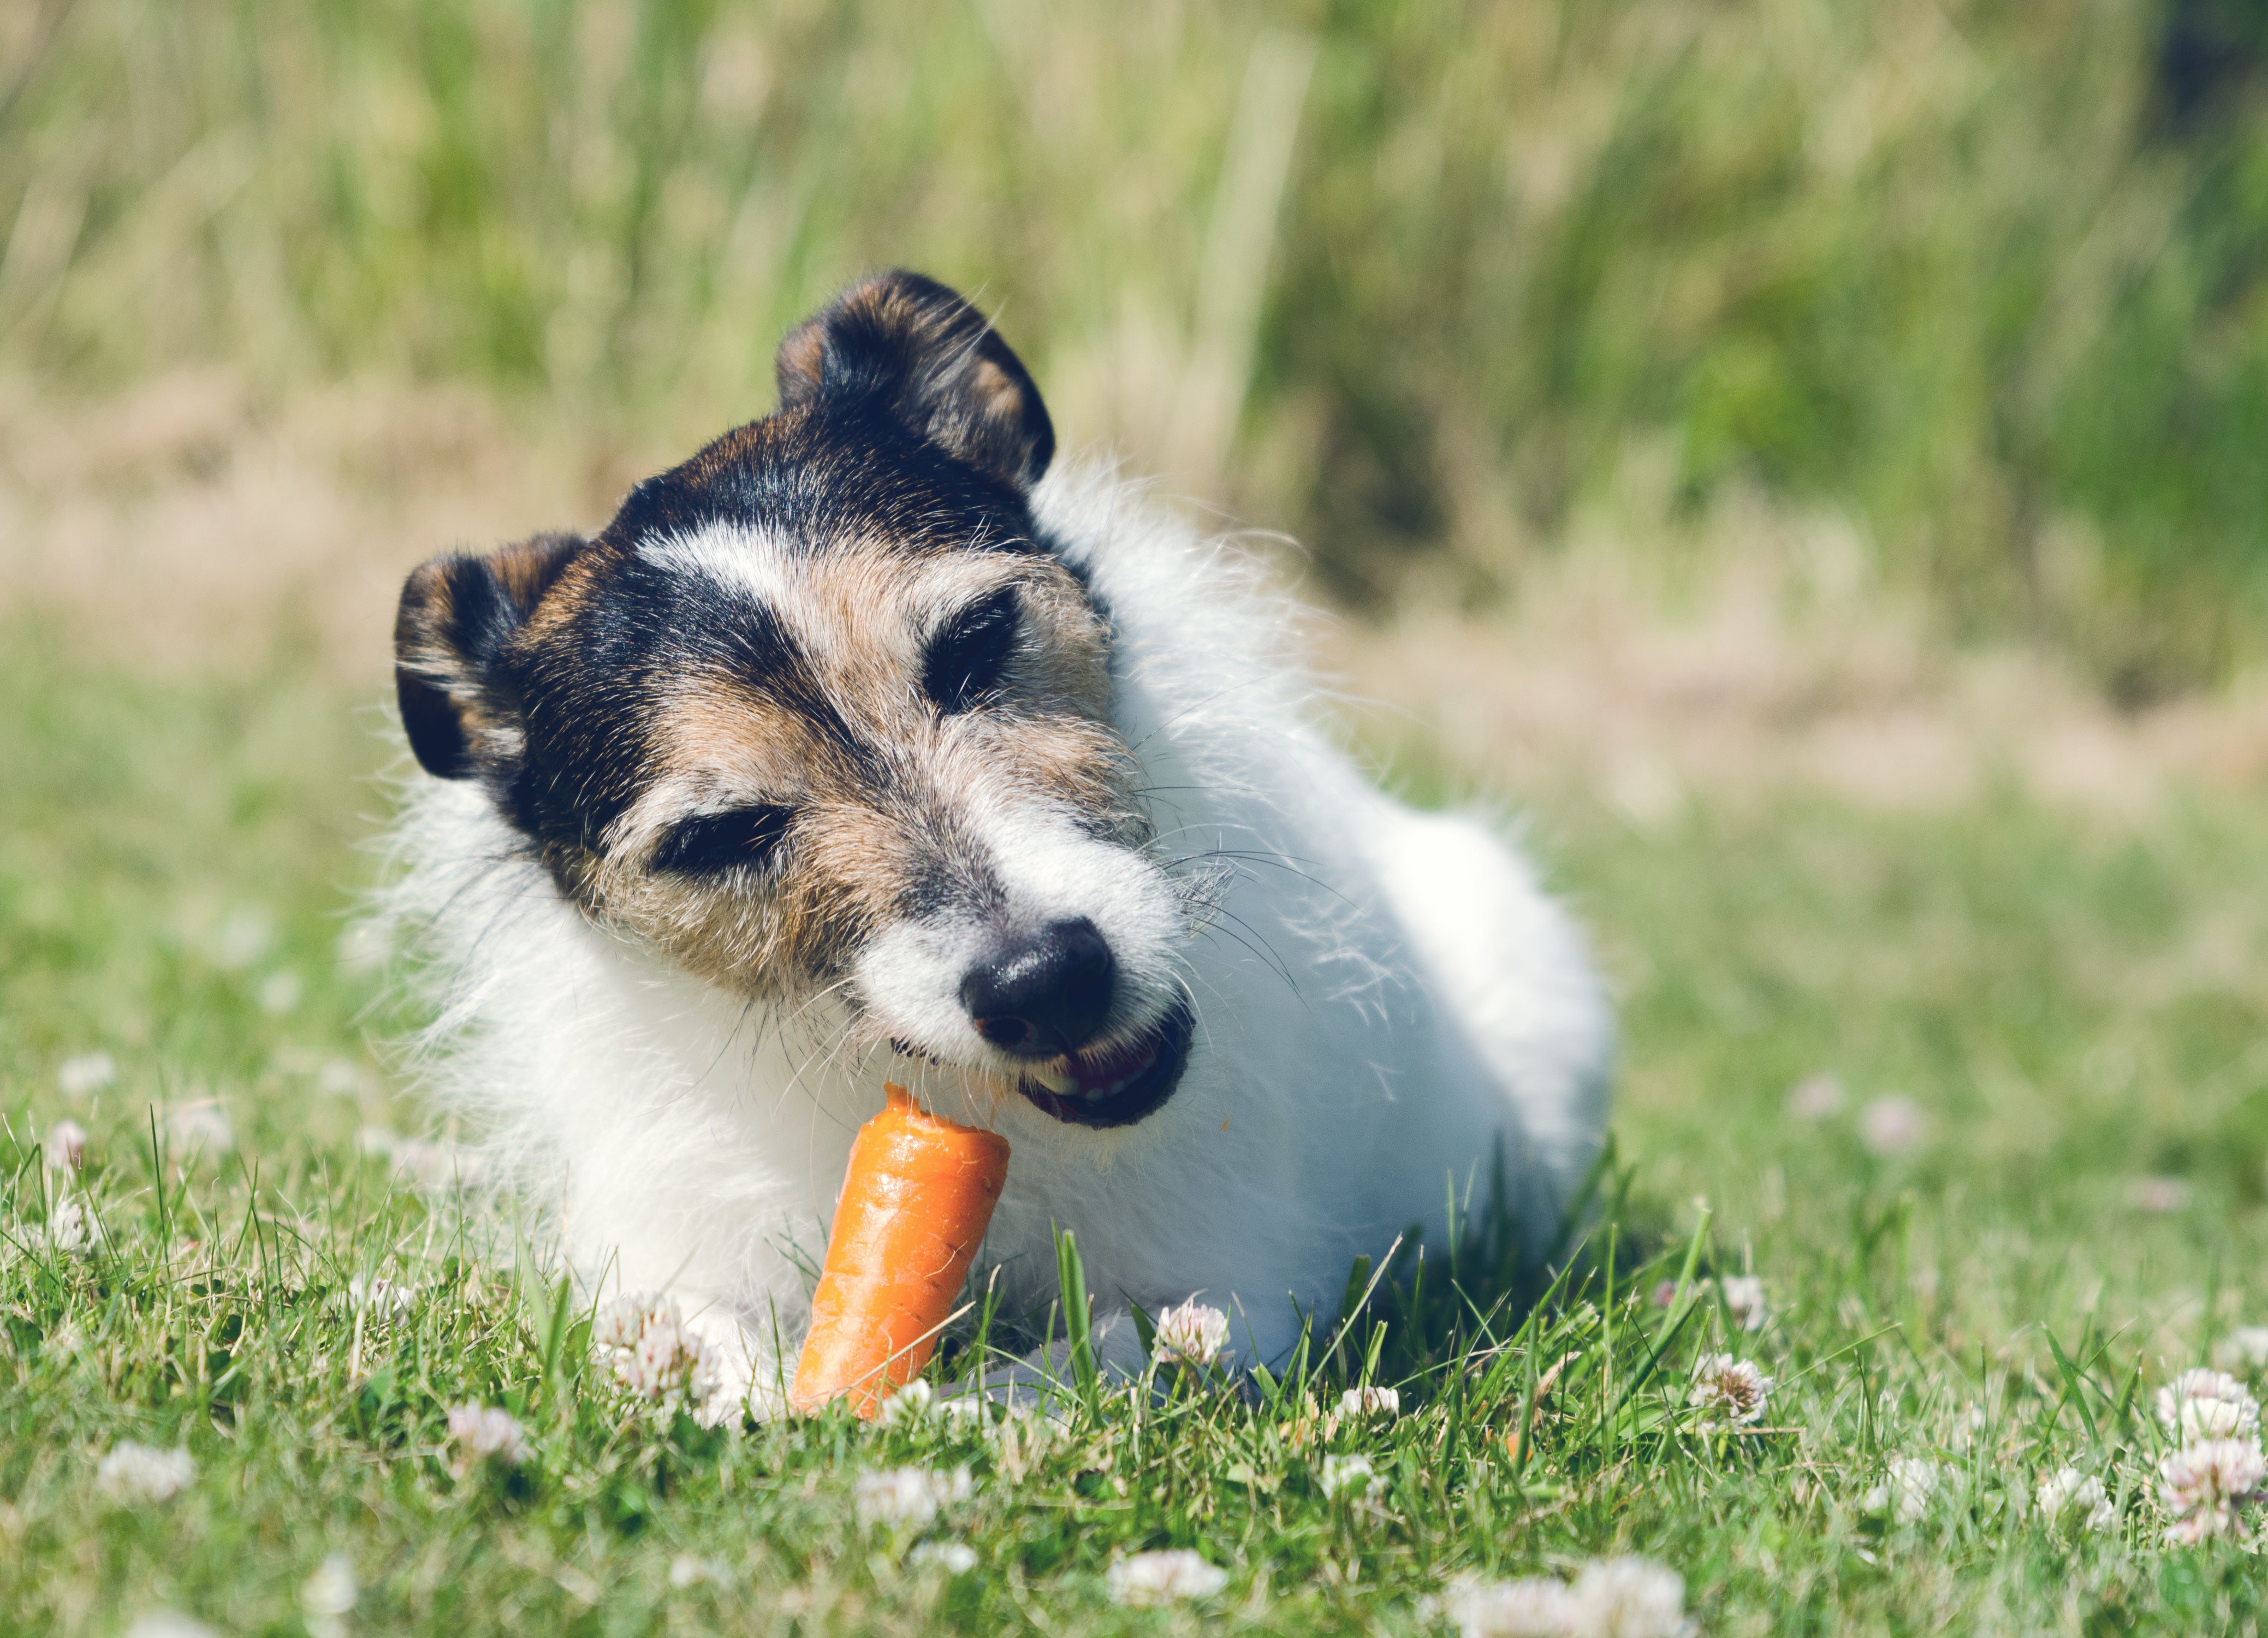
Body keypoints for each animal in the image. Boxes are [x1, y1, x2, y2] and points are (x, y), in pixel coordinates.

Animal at [381, 271, 1606, 1415]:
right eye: (720, 834)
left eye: (976, 642)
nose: (1047, 982)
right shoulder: (665, 1255)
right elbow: (681, 1332)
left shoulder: (1239, 1290)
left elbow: (1097, 1362)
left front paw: (951, 1413)